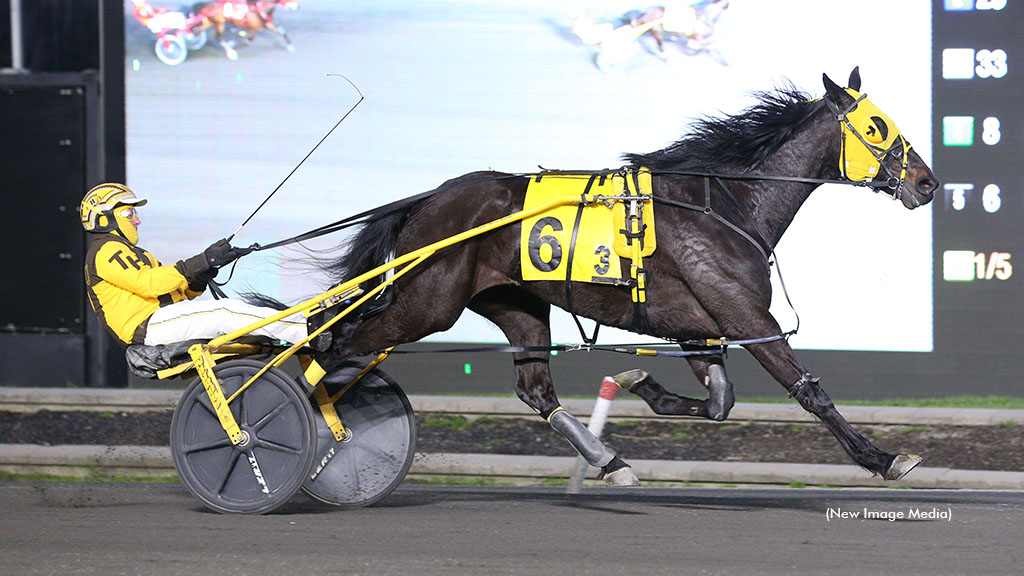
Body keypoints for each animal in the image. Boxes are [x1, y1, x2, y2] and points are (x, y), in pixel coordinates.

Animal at [309, 68, 937, 483]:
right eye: (876, 128)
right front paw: (883, 458)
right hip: (426, 303)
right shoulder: (747, 316)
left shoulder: (697, 325)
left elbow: (719, 401)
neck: (725, 203)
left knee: (534, 389)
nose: (927, 182)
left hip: (516, 303)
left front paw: (643, 386)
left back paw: (608, 460)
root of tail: (431, 198)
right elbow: (808, 389)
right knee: (333, 344)